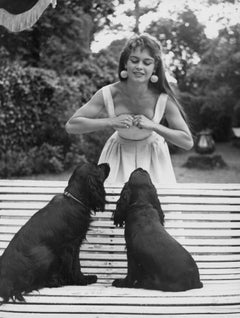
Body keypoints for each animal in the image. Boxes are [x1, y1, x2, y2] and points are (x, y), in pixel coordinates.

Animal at [0, 163, 109, 302]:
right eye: (97, 167)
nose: (107, 164)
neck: (74, 199)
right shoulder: (71, 245)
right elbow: (75, 265)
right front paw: (82, 280)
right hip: (46, 253)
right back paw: (56, 281)